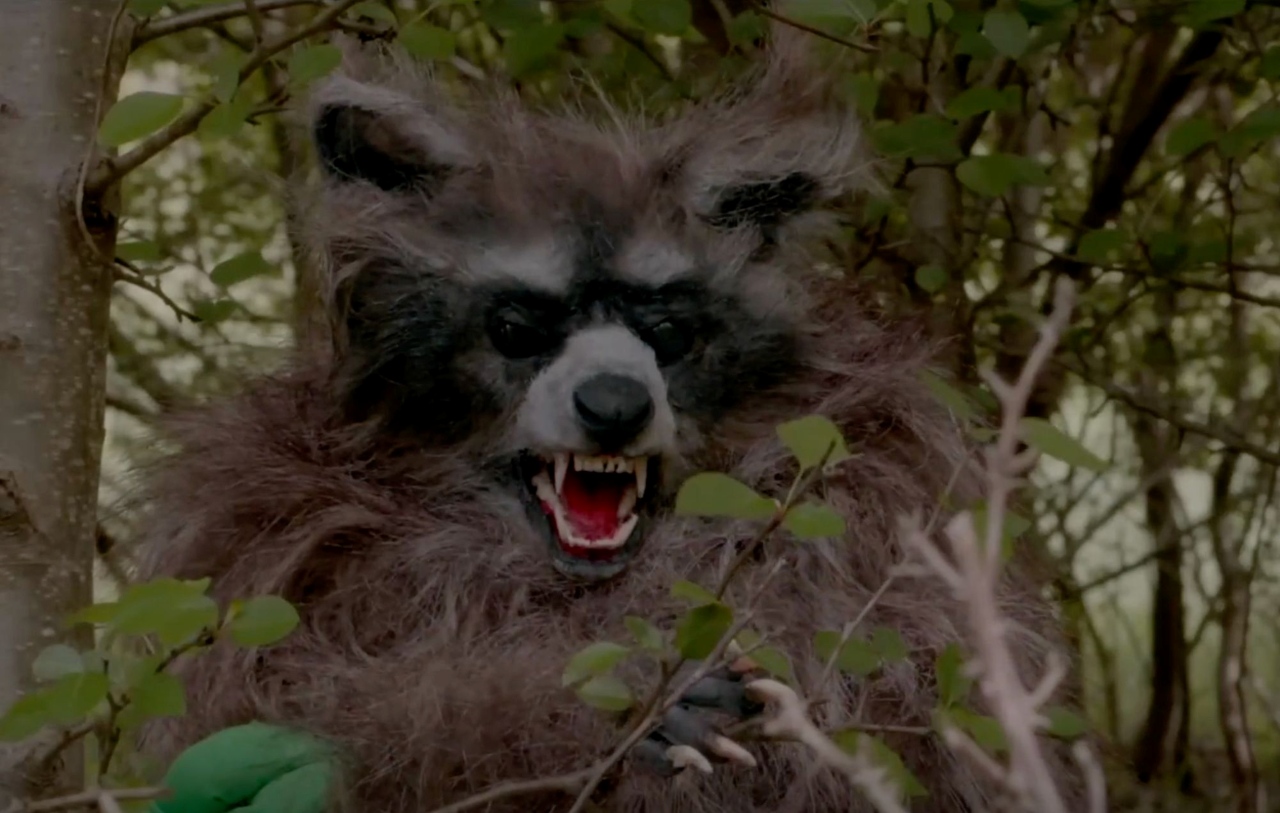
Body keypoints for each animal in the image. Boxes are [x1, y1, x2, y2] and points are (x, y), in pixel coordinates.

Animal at [130, 32, 1084, 813]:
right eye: (518, 330)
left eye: (667, 331)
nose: (617, 404)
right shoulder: (266, 520)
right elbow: (284, 693)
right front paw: (573, 711)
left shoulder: (885, 484)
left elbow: (914, 712)